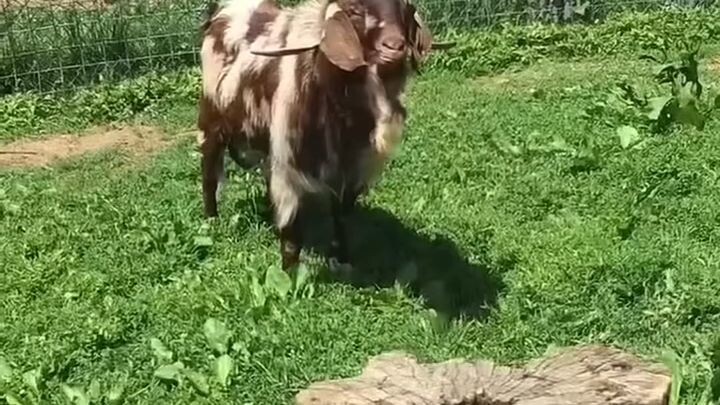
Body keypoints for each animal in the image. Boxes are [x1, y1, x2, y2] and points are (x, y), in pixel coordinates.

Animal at [197, 0, 452, 271]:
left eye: (403, 10)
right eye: (355, 11)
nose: (394, 47)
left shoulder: (351, 169)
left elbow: (341, 216)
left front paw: (341, 259)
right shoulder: (290, 167)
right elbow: (292, 232)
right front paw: (290, 273)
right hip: (211, 121)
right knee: (209, 172)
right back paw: (211, 220)